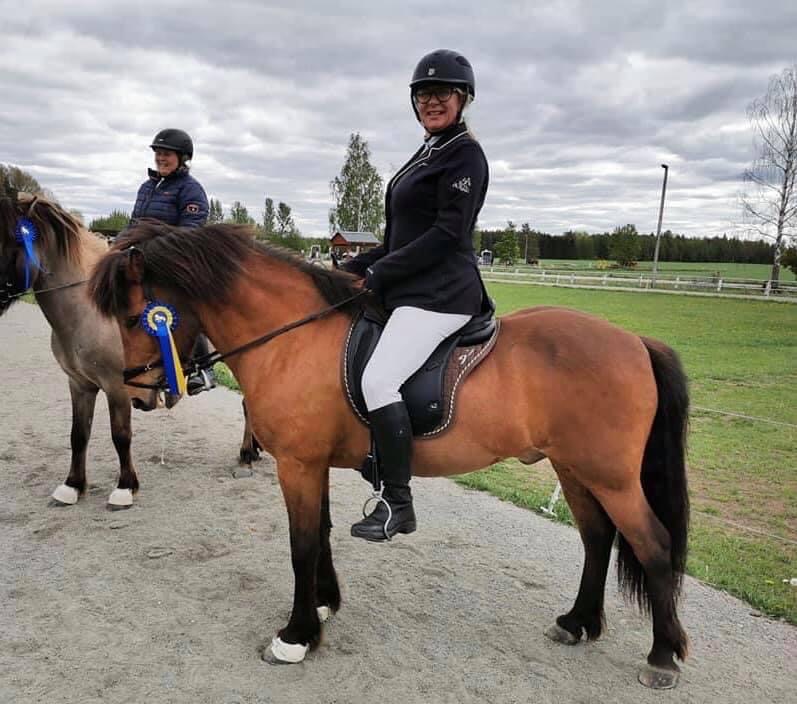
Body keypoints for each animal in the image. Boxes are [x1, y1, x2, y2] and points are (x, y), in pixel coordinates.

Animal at [0, 195, 262, 508]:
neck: (90, 313)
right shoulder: (79, 384)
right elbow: (79, 434)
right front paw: (72, 485)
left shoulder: (118, 387)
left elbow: (121, 435)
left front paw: (125, 488)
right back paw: (253, 450)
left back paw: (246, 456)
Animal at [88, 223, 692, 692]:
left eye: (137, 316)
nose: (137, 394)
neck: (291, 338)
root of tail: (636, 342)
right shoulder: (312, 465)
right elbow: (321, 533)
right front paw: (325, 605)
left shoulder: (297, 464)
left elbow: (301, 545)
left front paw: (296, 636)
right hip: (575, 471)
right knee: (598, 538)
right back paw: (578, 621)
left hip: (611, 478)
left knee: (654, 546)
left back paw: (662, 657)